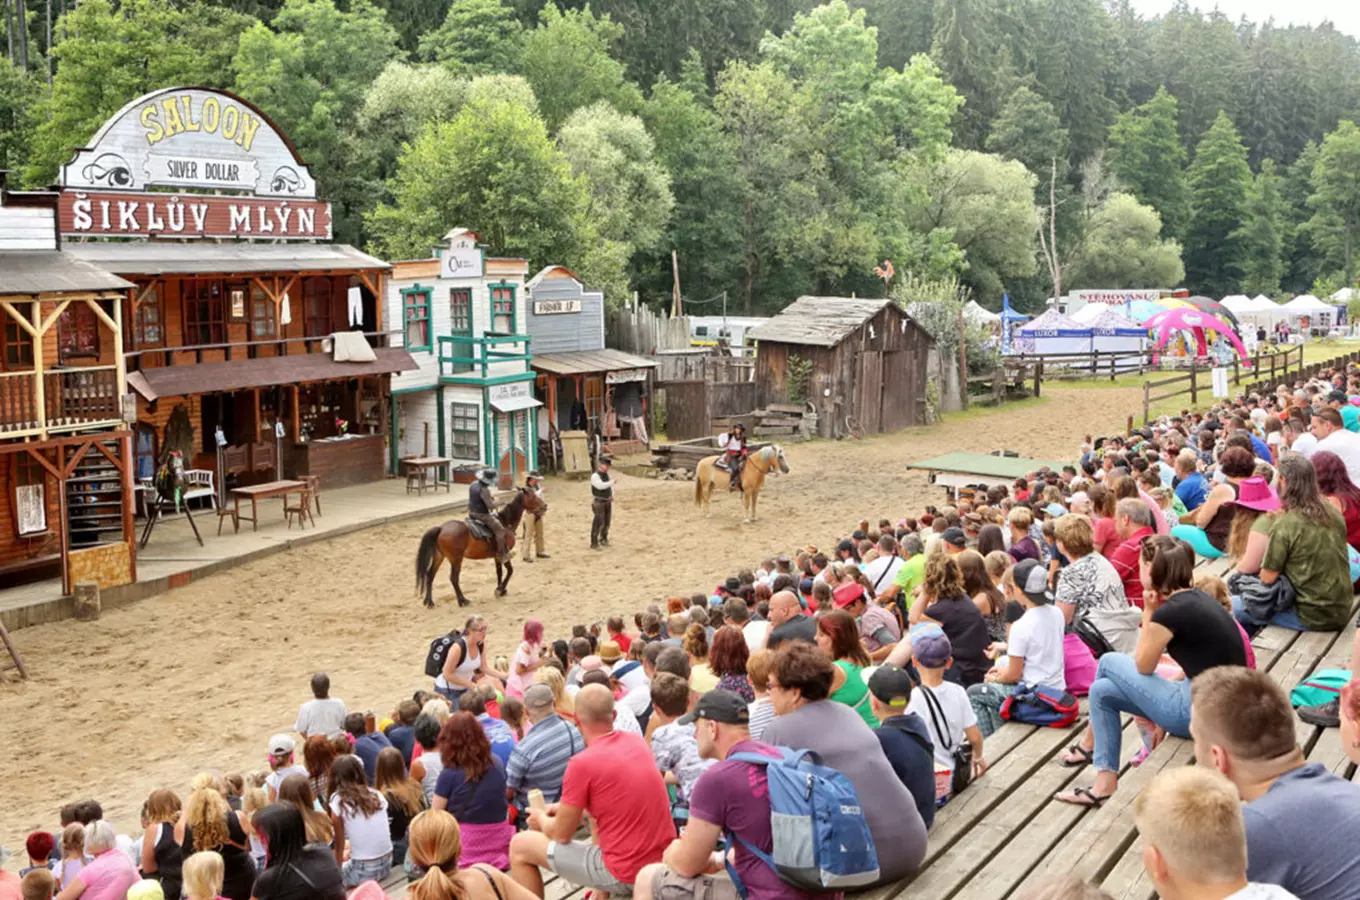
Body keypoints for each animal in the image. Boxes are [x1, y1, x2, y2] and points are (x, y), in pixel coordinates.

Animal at [413, 489, 546, 609]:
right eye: (533, 496)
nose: (545, 506)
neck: (505, 523)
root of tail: (441, 528)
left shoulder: (497, 556)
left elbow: (499, 572)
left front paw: (500, 590)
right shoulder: (504, 554)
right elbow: (510, 571)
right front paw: (500, 589)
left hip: (439, 556)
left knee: (430, 574)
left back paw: (429, 602)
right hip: (456, 559)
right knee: (453, 578)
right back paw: (462, 600)